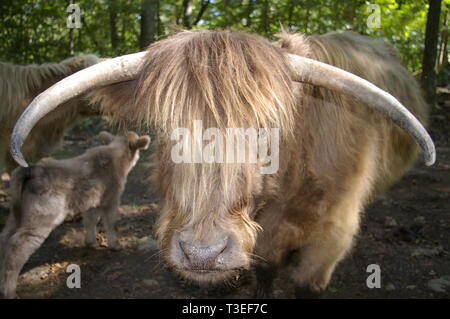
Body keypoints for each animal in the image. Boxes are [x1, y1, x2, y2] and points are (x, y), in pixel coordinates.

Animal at [0, 131, 151, 298]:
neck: (114, 154)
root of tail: (31, 170)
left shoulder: (92, 203)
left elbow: (90, 221)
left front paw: (91, 243)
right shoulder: (111, 199)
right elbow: (111, 223)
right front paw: (115, 246)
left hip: (15, 216)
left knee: (5, 237)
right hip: (40, 219)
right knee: (17, 245)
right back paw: (9, 291)